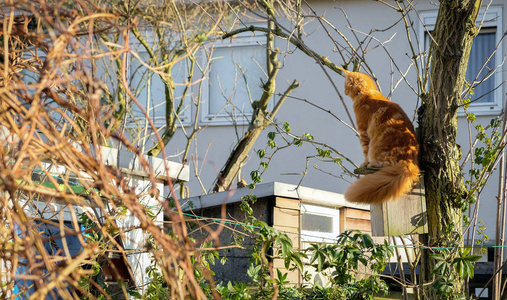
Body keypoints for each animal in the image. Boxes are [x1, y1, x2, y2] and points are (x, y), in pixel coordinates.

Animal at [346, 69, 420, 204]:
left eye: (345, 85)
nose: (345, 91)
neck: (366, 93)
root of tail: (409, 162)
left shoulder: (363, 130)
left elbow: (365, 151)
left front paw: (364, 164)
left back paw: (371, 165)